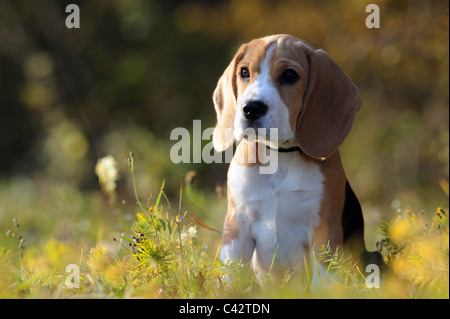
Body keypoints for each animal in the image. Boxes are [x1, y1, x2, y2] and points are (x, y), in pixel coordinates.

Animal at [213, 33, 382, 282]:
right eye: (244, 72)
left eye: (290, 75)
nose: (251, 108)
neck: (279, 156)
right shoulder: (236, 225)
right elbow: (231, 276)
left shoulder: (324, 230)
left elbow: (323, 281)